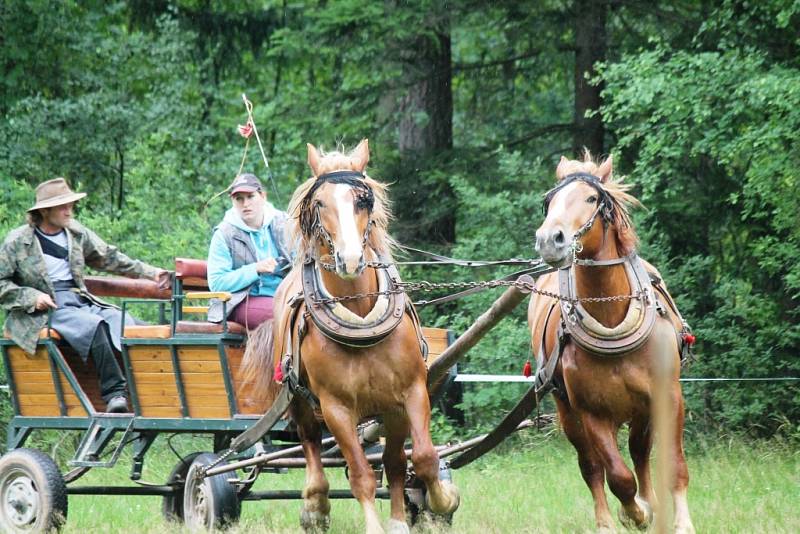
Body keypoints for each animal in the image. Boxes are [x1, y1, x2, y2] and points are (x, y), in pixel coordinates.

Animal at [244, 140, 460, 532]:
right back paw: (315, 505)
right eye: (319, 203)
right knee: (312, 450)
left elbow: (419, 458)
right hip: (300, 403)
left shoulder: (410, 394)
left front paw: (437, 502)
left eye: (364, 199)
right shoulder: (337, 409)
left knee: (393, 461)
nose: (349, 259)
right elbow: (361, 474)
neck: (361, 318)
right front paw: (375, 524)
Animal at [528, 153, 692, 532]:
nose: (550, 240)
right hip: (568, 412)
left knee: (640, 453)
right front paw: (635, 513)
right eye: (549, 202)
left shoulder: (667, 396)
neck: (612, 314)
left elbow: (672, 465)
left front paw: (677, 521)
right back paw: (607, 520)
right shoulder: (592, 412)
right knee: (592, 467)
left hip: (641, 411)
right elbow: (618, 477)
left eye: (591, 199)